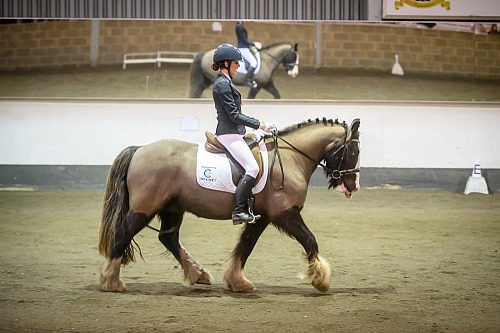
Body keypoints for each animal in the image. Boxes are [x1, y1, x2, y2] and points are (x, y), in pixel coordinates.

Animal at [97, 117, 360, 294]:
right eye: (353, 152)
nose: (353, 186)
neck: (289, 157)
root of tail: (139, 150)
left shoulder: (262, 217)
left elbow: (245, 246)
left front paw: (237, 282)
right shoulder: (285, 213)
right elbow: (309, 240)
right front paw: (320, 279)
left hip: (173, 208)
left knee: (168, 238)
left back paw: (198, 274)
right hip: (144, 209)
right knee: (123, 234)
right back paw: (112, 281)